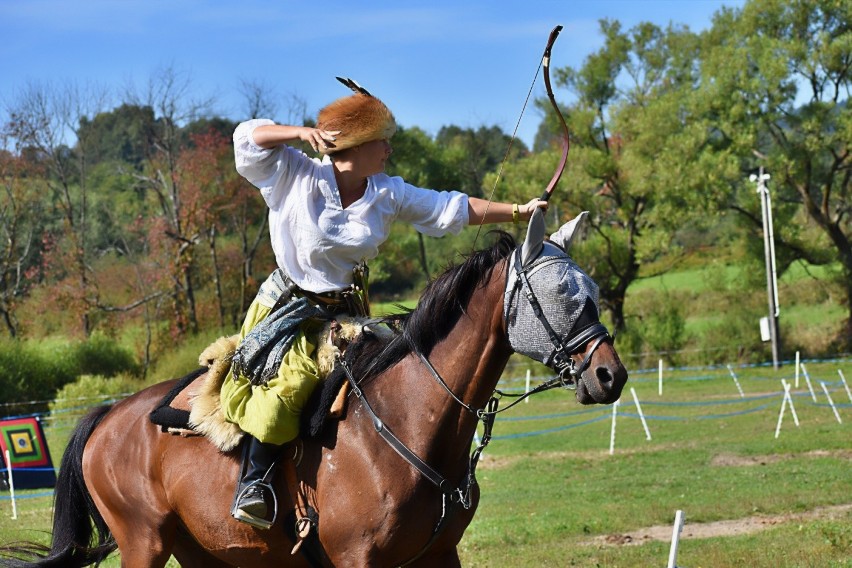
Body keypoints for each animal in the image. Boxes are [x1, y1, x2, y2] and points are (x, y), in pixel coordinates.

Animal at [0, 213, 624, 568]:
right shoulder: (357, 560)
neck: (406, 421)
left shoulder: (439, 556)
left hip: (203, 551)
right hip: (143, 544)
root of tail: (106, 418)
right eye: (561, 292)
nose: (609, 375)